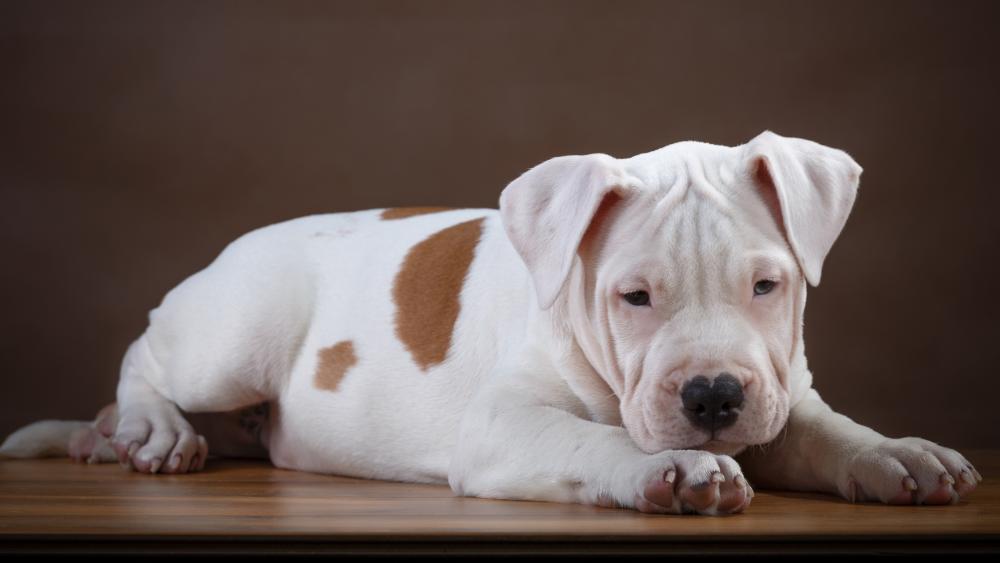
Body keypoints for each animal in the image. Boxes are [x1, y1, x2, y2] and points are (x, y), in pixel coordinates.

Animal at [3, 129, 980, 516]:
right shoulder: (504, 422)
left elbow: (830, 430)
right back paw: (147, 429)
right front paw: (673, 469)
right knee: (144, 352)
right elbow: (597, 439)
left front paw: (899, 453)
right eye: (634, 297)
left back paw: (99, 437)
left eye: (767, 285)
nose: (711, 397)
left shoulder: (784, 394)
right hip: (234, 337)